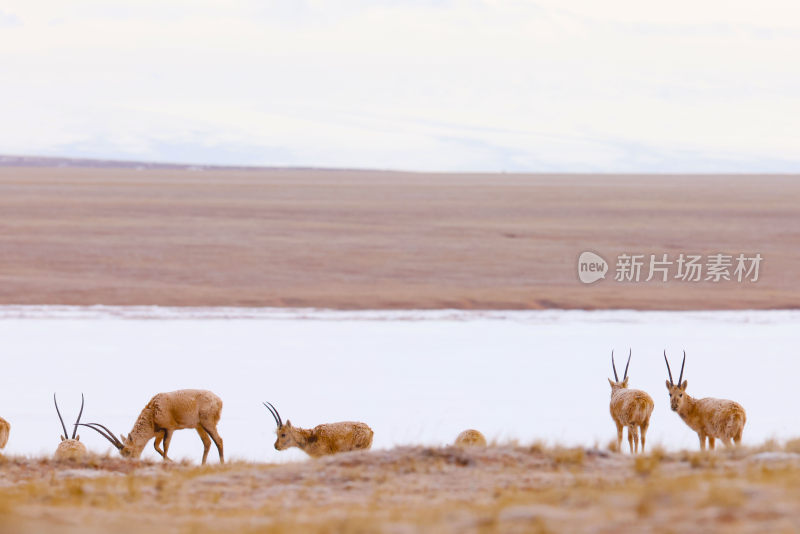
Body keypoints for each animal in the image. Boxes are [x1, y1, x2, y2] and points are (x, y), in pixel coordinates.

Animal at [80, 390, 223, 464]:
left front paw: (167, 462)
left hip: (207, 423)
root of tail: (218, 400)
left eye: (128, 451)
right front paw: (170, 461)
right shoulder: (159, 432)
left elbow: (165, 446)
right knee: (207, 442)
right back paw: (202, 465)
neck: (153, 410)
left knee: (219, 441)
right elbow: (156, 446)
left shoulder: (169, 429)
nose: (131, 462)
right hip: (198, 426)